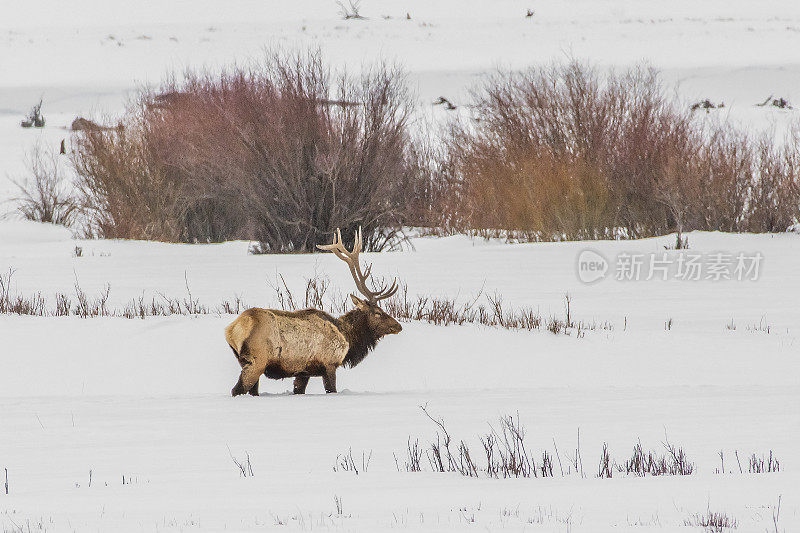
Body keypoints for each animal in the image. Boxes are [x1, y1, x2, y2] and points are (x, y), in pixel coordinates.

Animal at [223, 228, 400, 394]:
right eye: (378, 313)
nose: (399, 326)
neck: (347, 337)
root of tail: (232, 330)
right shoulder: (329, 364)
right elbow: (331, 389)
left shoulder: (303, 371)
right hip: (256, 361)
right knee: (237, 390)